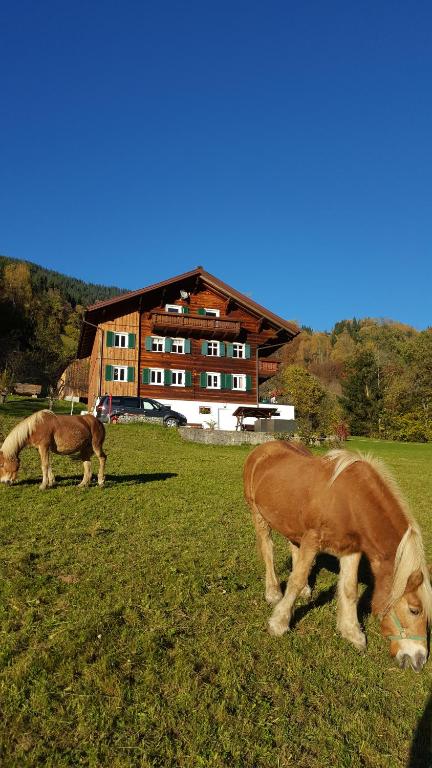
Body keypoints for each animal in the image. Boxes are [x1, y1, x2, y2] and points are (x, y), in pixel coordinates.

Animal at [243, 440, 432, 668]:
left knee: (293, 546)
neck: (350, 502)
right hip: (258, 515)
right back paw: (272, 592)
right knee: (267, 550)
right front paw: (279, 623)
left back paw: (306, 589)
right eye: (414, 610)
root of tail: (262, 449)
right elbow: (296, 580)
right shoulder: (312, 540)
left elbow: (349, 589)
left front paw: (352, 632)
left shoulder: (351, 549)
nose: (419, 659)